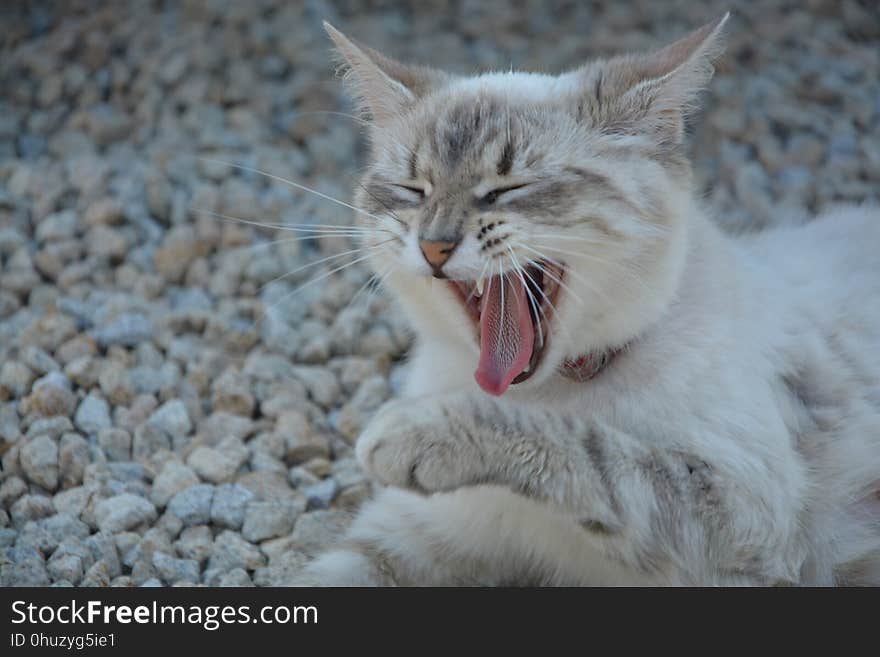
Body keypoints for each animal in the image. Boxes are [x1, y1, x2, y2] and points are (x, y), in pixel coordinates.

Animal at [300, 14, 880, 584]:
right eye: (412, 190)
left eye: (508, 189)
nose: (434, 244)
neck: (554, 386)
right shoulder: (409, 536)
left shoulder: (741, 515)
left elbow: (590, 447)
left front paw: (408, 434)